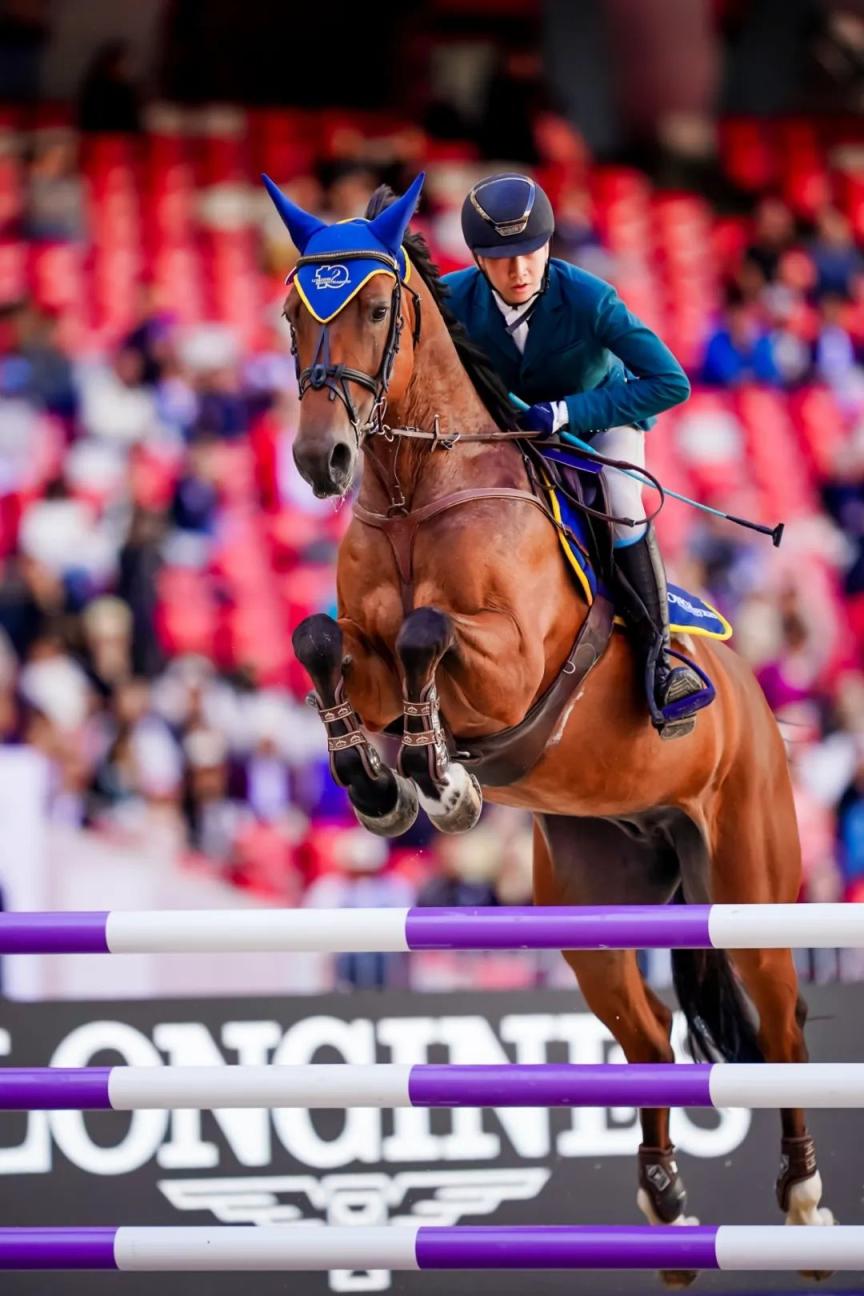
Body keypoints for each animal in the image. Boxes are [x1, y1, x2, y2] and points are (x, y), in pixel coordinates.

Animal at [264, 172, 836, 1284]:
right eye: (289, 313)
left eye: (377, 308)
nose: (321, 459)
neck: (417, 493)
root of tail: (756, 702)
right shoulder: (359, 645)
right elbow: (321, 639)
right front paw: (379, 781)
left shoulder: (515, 667)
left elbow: (432, 634)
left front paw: (438, 777)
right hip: (592, 907)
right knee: (651, 1040)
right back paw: (665, 1214)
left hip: (748, 873)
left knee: (783, 1022)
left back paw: (801, 1202)